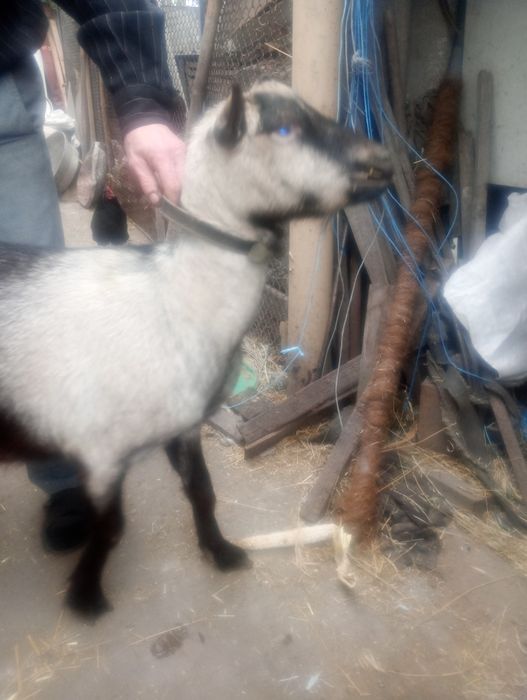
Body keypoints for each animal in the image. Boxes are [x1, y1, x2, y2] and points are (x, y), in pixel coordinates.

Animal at [0, 81, 392, 617]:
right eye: (285, 128)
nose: (384, 162)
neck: (175, 298)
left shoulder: (183, 426)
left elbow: (202, 492)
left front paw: (222, 553)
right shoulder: (101, 452)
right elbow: (112, 527)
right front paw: (86, 598)